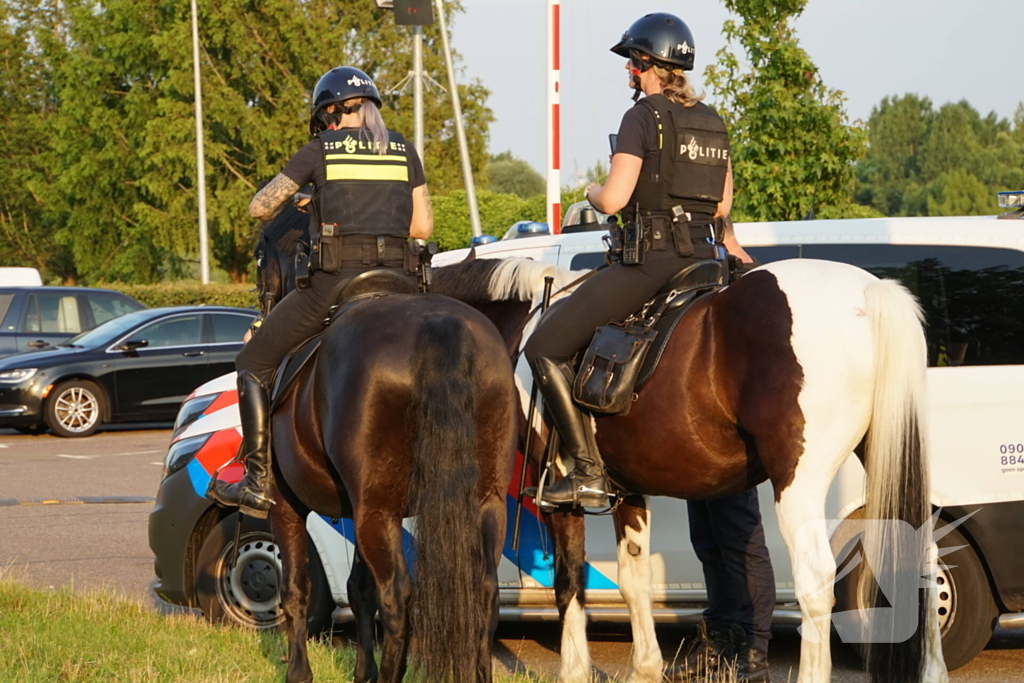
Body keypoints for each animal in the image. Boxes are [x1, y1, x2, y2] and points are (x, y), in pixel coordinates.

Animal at [252, 210, 516, 679]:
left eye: (259, 257)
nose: (260, 310)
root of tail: (438, 326)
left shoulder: (287, 504)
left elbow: (297, 588)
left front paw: (299, 672)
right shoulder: (356, 508)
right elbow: (358, 589)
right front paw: (363, 672)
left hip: (378, 512)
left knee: (397, 597)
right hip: (482, 501)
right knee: (484, 591)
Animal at [430, 254, 942, 683]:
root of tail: (870, 291)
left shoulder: (559, 491)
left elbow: (569, 581)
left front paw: (575, 670)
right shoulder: (628, 489)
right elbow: (633, 580)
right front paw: (645, 669)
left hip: (799, 485)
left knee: (815, 581)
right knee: (925, 559)